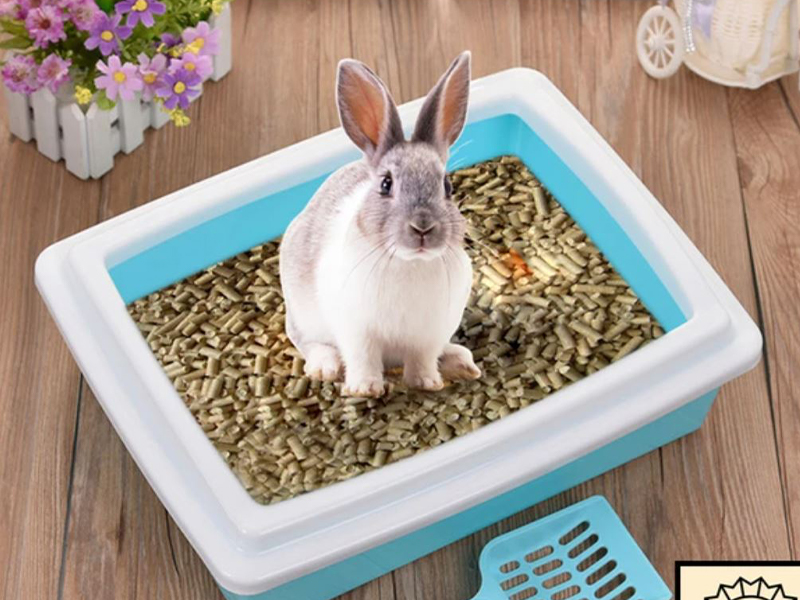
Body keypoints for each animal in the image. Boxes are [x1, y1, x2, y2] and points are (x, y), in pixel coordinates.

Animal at [279, 51, 481, 398]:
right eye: (386, 184)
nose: (423, 228)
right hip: (302, 315)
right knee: (308, 342)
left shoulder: (428, 335)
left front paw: (427, 383)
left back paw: (462, 364)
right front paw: (365, 389)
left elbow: (422, 359)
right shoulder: (357, 331)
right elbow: (363, 357)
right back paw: (325, 367)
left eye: (447, 186)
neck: (409, 262)